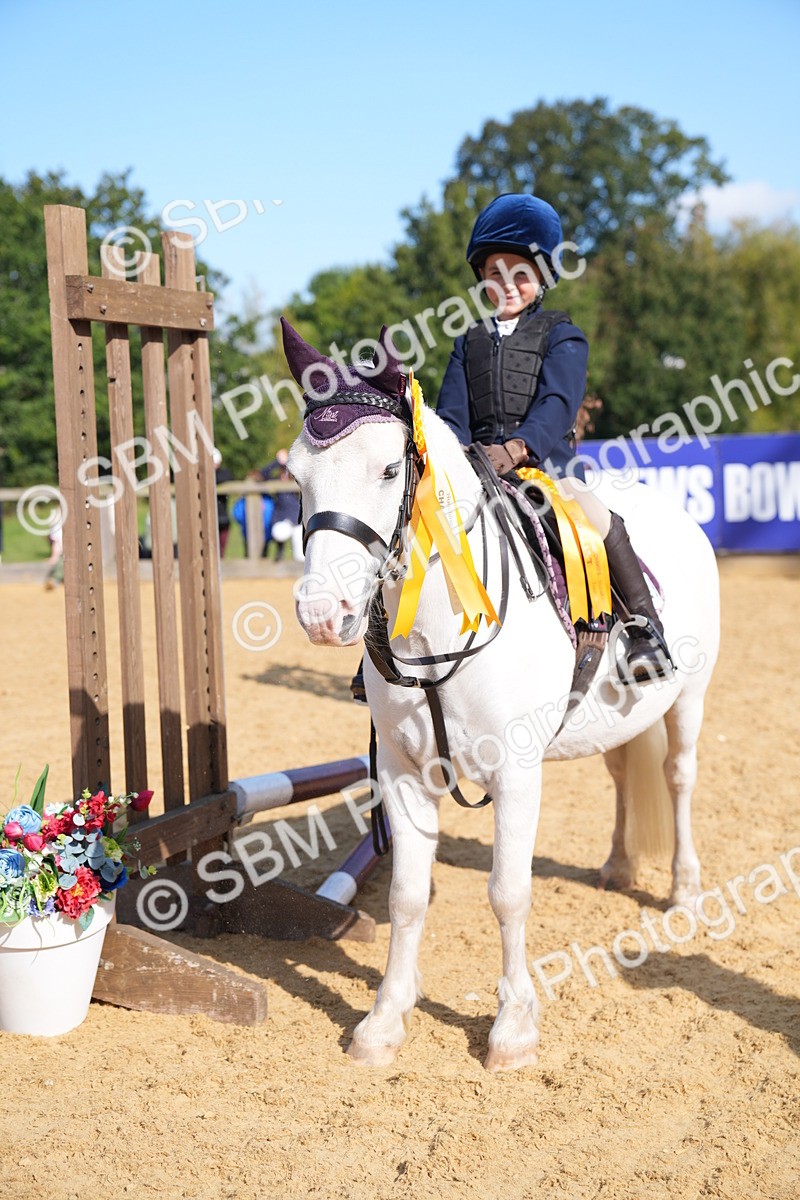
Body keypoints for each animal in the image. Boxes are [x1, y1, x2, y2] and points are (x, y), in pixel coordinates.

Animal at [285, 323, 720, 1072]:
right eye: (296, 476)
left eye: (389, 470)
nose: (321, 613)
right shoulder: (401, 771)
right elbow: (406, 896)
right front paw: (384, 1021)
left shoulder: (516, 773)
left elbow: (508, 894)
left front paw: (513, 1027)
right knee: (624, 776)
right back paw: (617, 866)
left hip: (687, 698)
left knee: (679, 776)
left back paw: (683, 892)